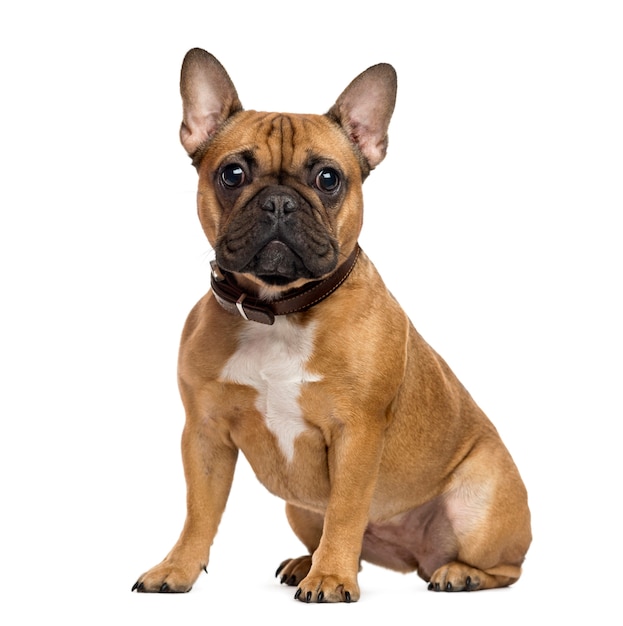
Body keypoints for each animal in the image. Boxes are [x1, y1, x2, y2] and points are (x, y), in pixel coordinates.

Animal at [132, 48, 532, 600]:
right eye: (232, 174)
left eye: (328, 179)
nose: (279, 201)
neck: (279, 310)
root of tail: (413, 558)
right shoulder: (204, 434)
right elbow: (199, 512)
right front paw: (177, 568)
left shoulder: (356, 435)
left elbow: (345, 510)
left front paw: (330, 579)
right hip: (299, 508)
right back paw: (309, 561)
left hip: (480, 503)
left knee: (505, 567)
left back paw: (457, 573)